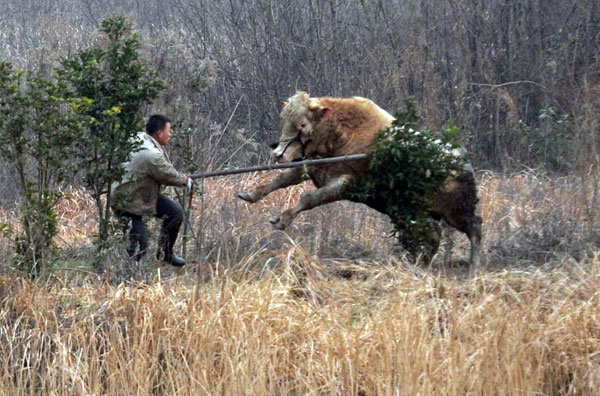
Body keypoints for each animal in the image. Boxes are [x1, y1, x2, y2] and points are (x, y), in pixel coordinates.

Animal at [237, 91, 480, 268]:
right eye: (283, 120)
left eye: (303, 124)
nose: (278, 154)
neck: (341, 136)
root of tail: (463, 161)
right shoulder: (312, 167)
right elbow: (282, 179)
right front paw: (251, 194)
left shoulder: (343, 184)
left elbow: (309, 198)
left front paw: (282, 219)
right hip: (414, 213)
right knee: (433, 236)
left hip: (457, 211)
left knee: (474, 228)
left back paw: (474, 266)